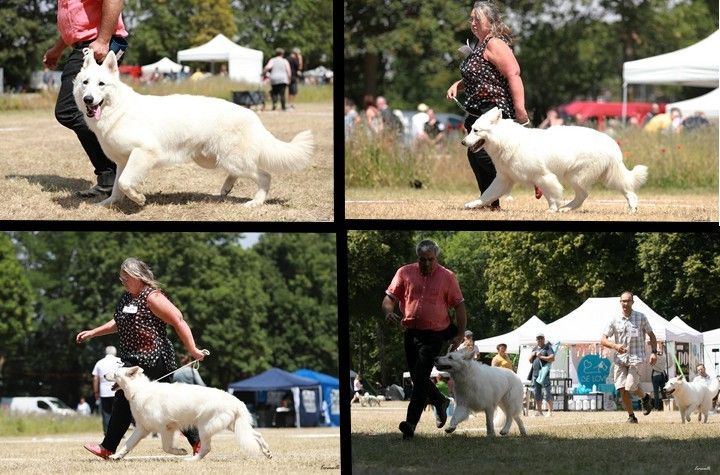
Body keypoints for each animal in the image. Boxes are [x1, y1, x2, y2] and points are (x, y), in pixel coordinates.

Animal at [71, 50, 316, 208]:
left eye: (101, 84)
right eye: (85, 83)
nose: (88, 100)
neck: (119, 109)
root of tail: (252, 115)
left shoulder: (144, 152)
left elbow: (124, 183)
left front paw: (139, 199)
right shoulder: (123, 161)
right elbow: (117, 186)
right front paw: (108, 203)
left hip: (232, 158)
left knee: (264, 175)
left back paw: (255, 202)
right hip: (212, 159)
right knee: (238, 174)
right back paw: (226, 188)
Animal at [101, 368, 270, 462]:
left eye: (115, 374)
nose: (102, 375)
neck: (139, 390)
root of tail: (236, 402)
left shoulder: (165, 428)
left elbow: (166, 447)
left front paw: (179, 451)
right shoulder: (142, 429)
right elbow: (128, 444)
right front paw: (116, 456)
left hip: (205, 428)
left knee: (206, 448)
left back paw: (191, 459)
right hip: (233, 426)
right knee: (257, 435)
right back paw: (267, 452)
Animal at [464, 109, 648, 213]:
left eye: (476, 130)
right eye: (471, 129)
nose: (463, 142)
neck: (506, 140)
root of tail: (611, 143)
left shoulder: (543, 177)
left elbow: (552, 195)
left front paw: (552, 209)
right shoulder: (504, 179)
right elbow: (487, 194)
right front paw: (473, 204)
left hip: (577, 176)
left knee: (586, 194)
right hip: (603, 175)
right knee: (620, 189)